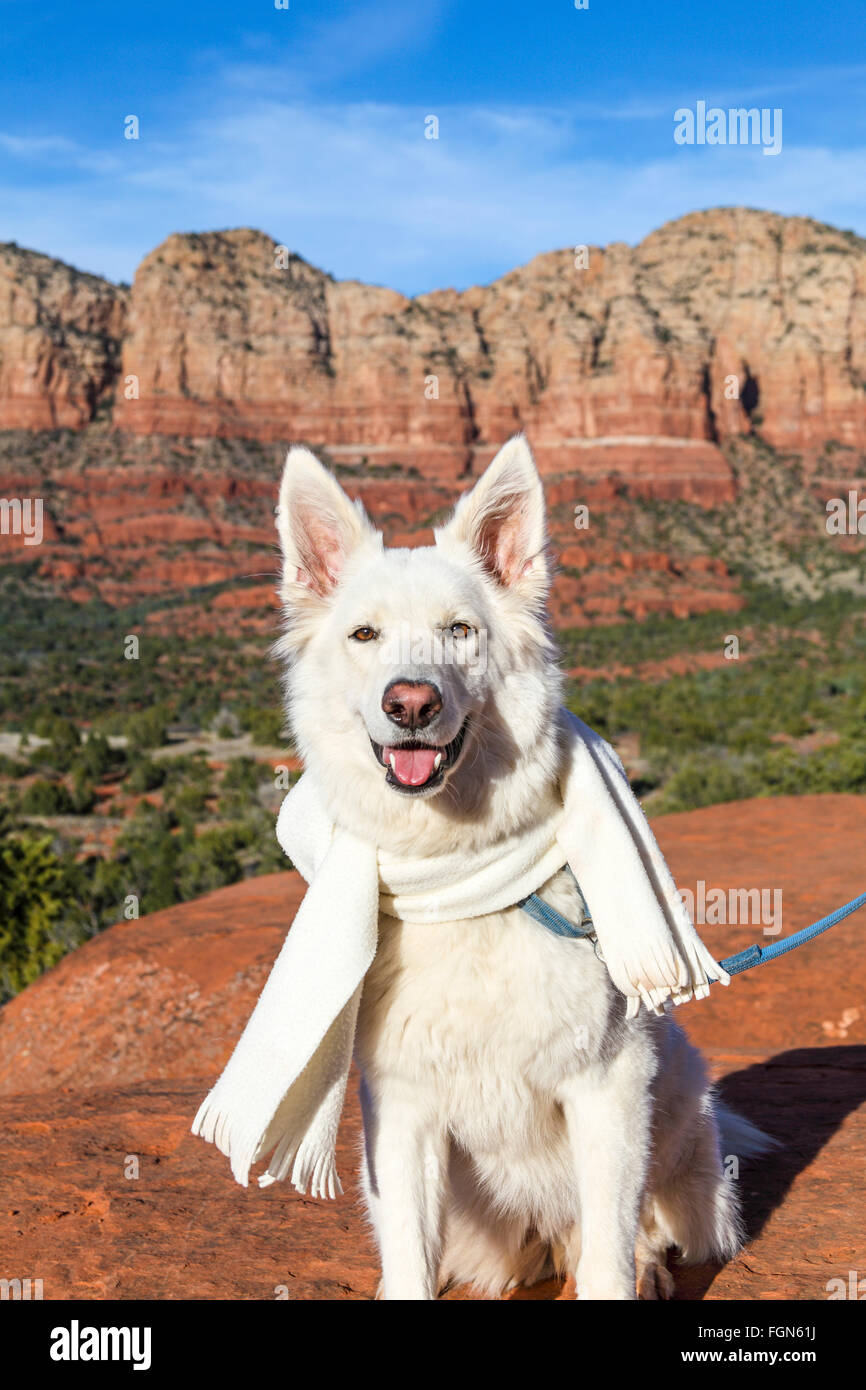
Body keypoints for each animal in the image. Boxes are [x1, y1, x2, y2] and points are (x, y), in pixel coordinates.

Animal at [272, 436, 772, 1301]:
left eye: (460, 631)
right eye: (365, 635)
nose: (411, 703)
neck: (462, 870)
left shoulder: (609, 1083)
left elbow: (607, 1252)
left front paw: (624, 1272)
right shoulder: (402, 1109)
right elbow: (408, 1259)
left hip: (679, 1118)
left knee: (644, 1230)